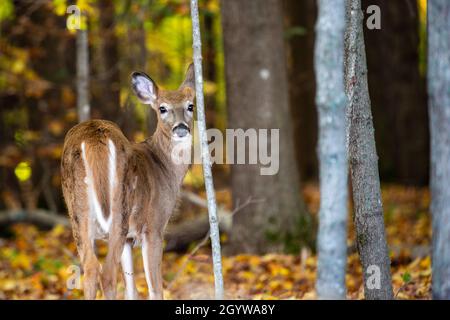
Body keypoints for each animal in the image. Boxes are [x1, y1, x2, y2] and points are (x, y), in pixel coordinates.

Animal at [60, 64, 195, 300]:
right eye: (162, 108)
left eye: (190, 106)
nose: (181, 128)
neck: (164, 167)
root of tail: (93, 140)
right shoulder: (154, 226)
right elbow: (154, 288)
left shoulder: (129, 239)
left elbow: (131, 288)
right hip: (119, 209)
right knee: (106, 273)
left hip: (77, 210)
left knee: (90, 268)